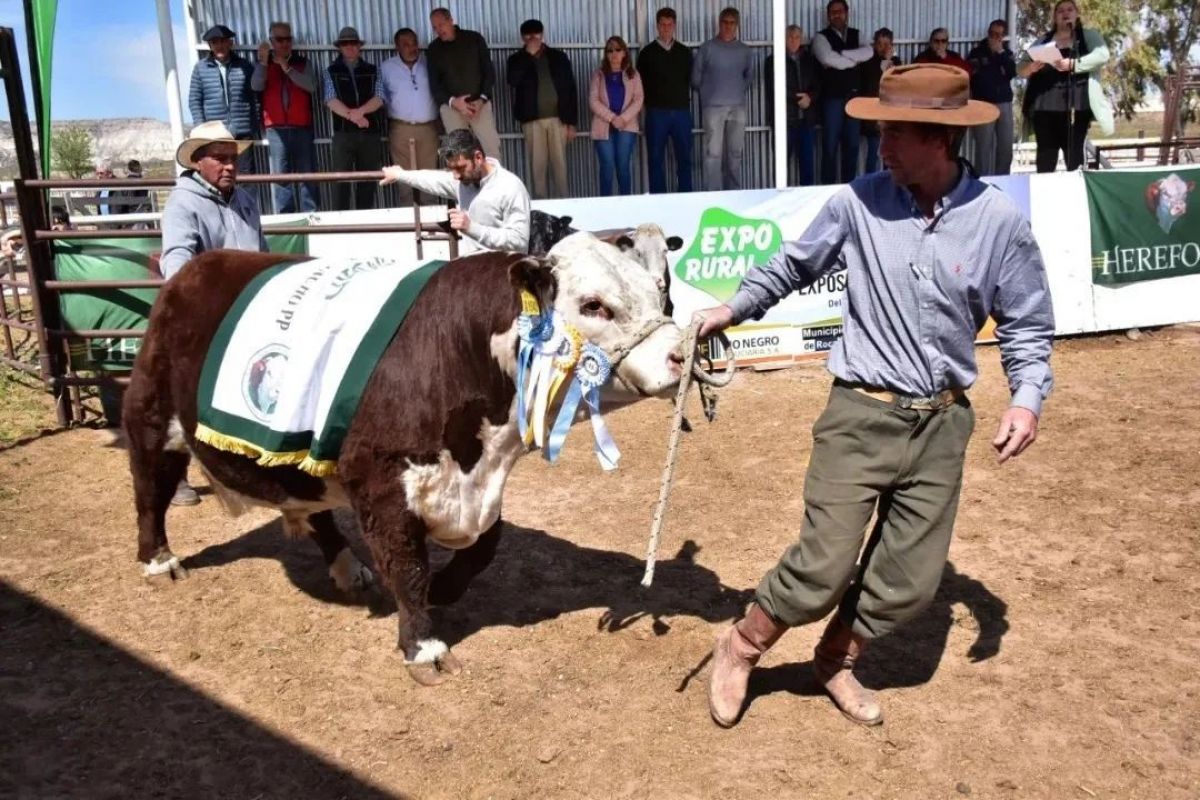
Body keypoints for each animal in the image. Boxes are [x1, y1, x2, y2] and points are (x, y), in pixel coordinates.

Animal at [124, 235, 686, 686]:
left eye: (659, 291)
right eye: (593, 304)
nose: (682, 354)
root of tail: (197, 267)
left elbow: (484, 547)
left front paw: (444, 588)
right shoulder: (381, 479)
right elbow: (407, 566)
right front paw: (424, 647)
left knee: (315, 507)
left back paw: (348, 567)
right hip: (152, 418)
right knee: (150, 490)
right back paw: (159, 560)